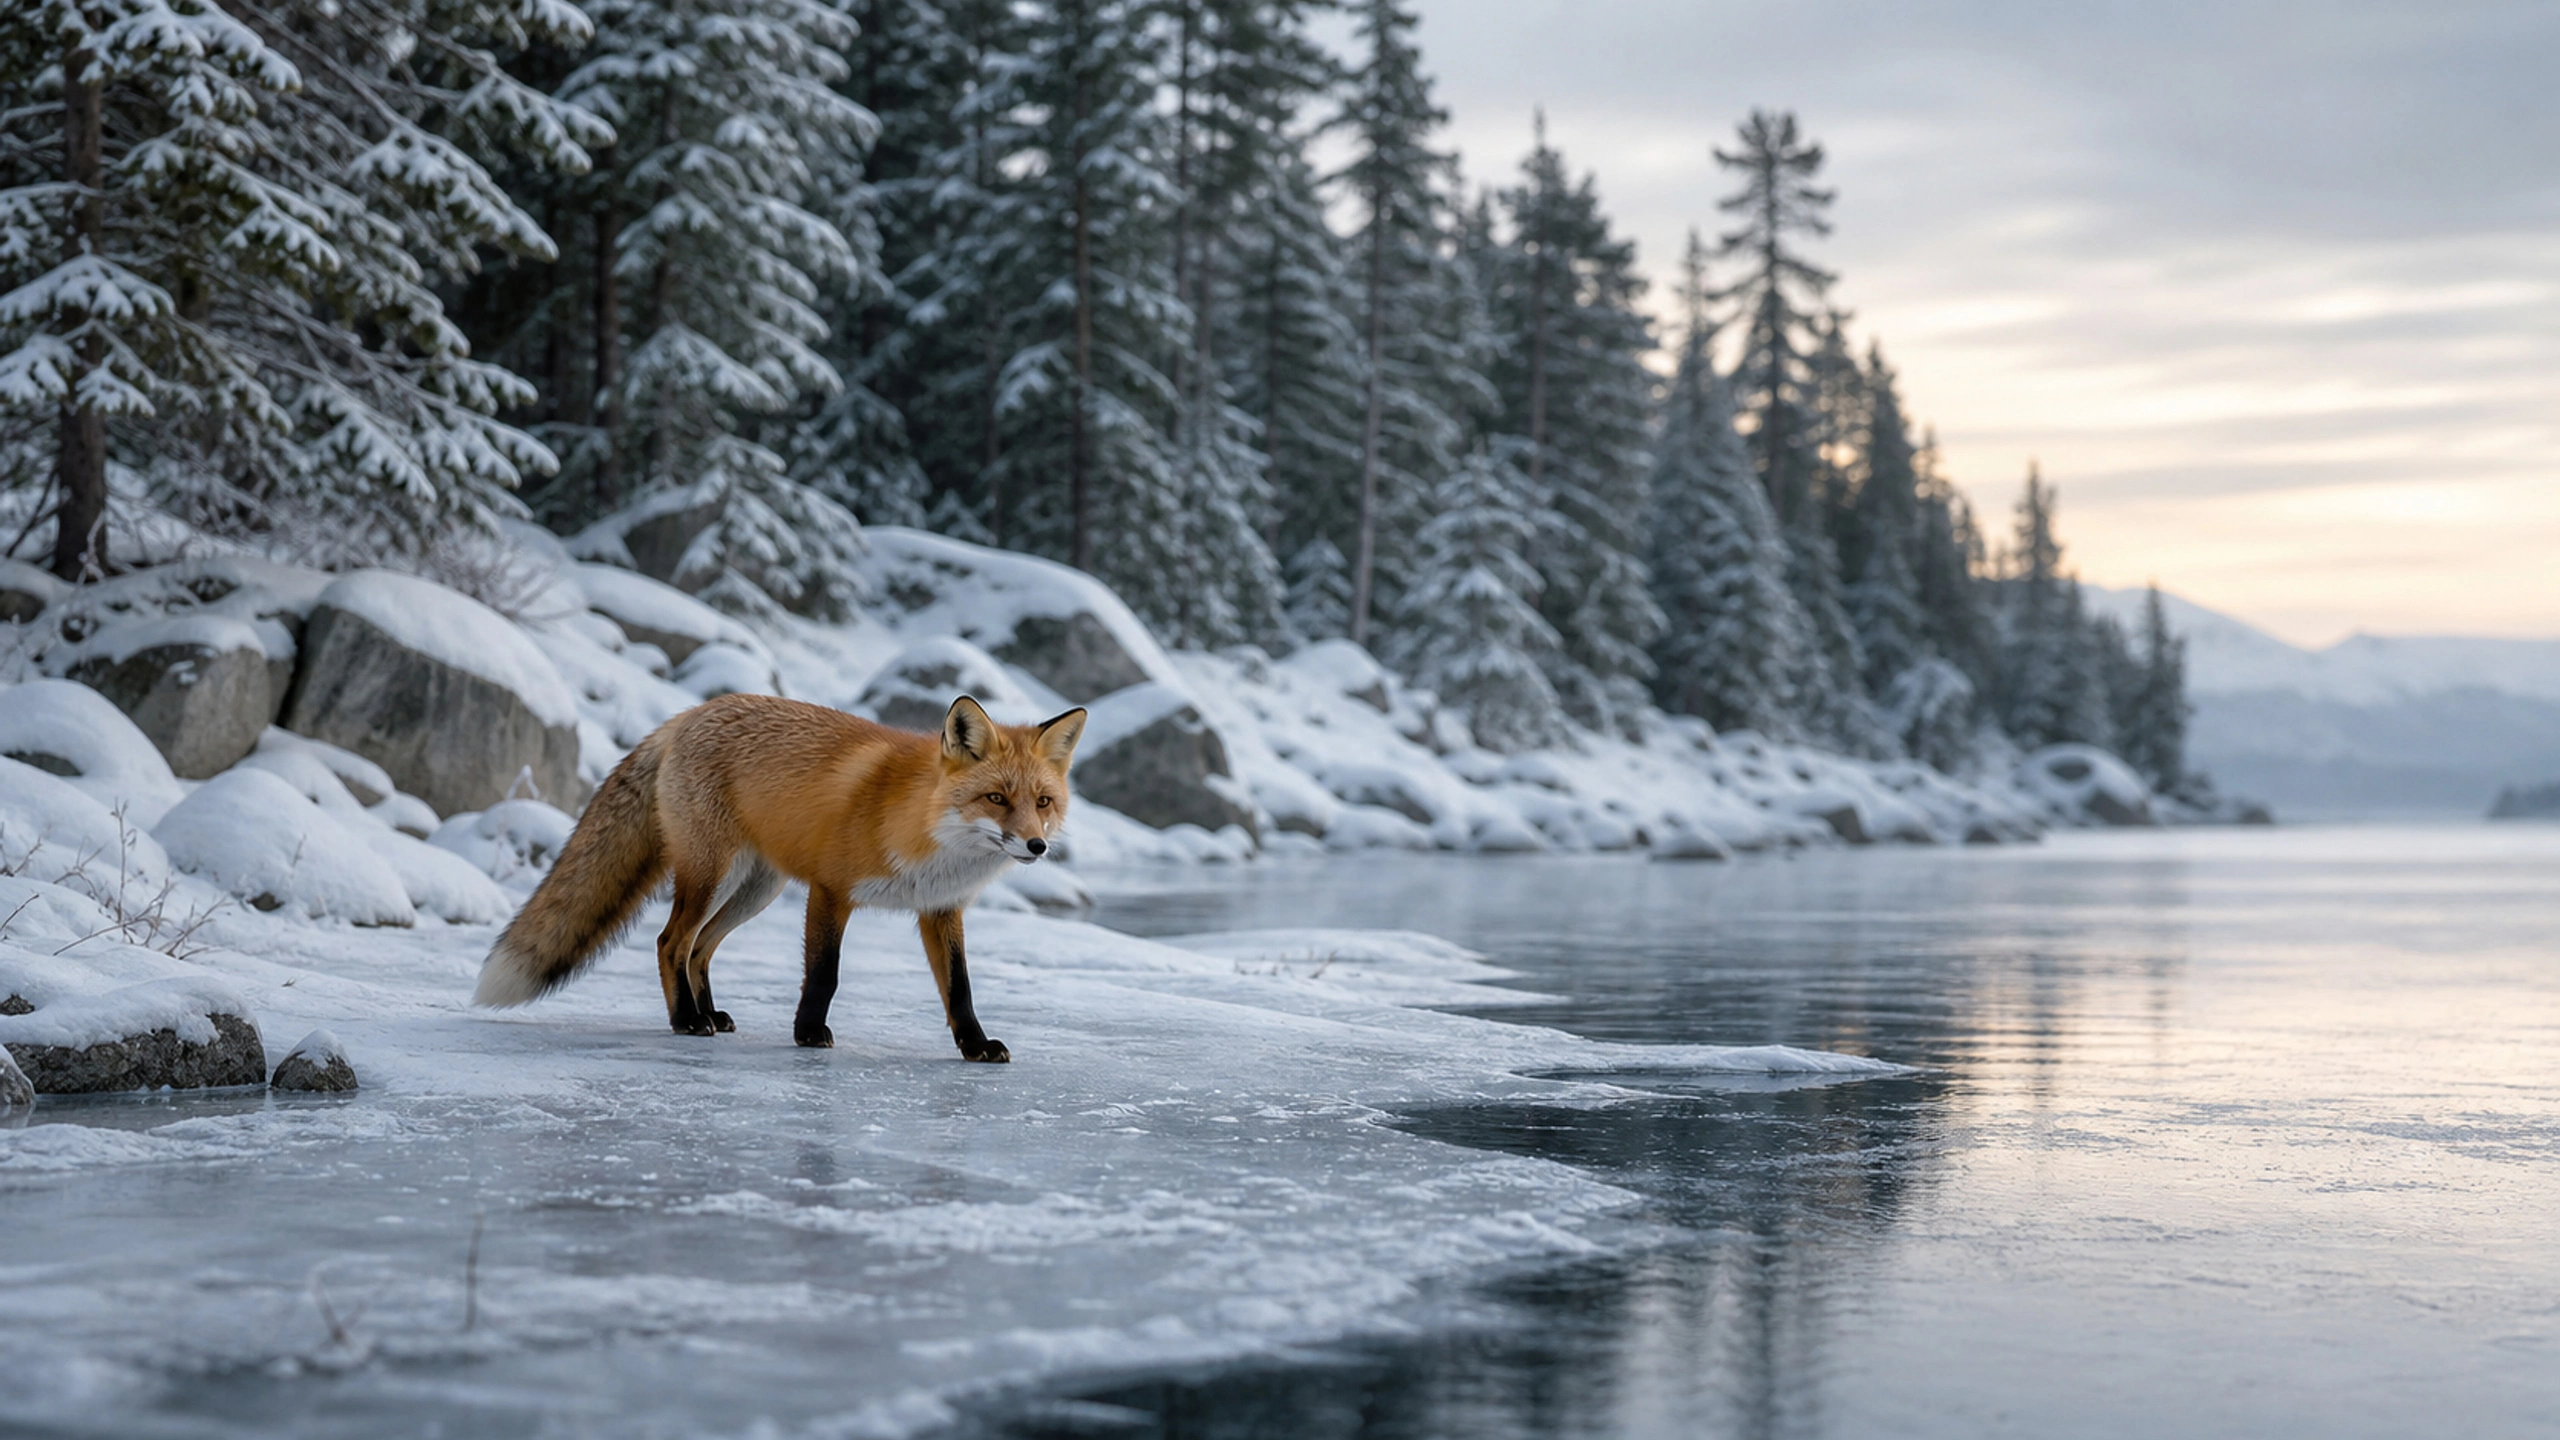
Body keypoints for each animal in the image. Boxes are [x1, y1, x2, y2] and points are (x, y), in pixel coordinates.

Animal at [472, 692, 1084, 1061]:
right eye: (997, 799)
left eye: (1043, 802)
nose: (1037, 845)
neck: (922, 827)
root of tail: (689, 714)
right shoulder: (831, 890)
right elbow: (824, 975)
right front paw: (808, 1034)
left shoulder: (940, 908)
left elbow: (960, 990)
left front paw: (975, 1047)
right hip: (711, 875)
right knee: (671, 941)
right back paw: (686, 1021)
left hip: (755, 891)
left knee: (699, 949)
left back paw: (708, 1013)